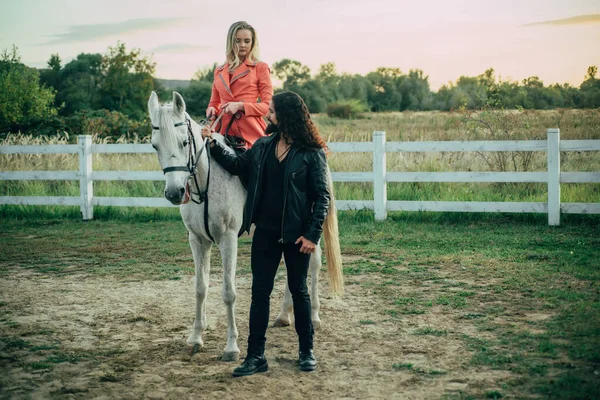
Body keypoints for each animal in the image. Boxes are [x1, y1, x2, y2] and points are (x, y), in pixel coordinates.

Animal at [148, 92, 342, 360]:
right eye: (155, 145)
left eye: (184, 143)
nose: (175, 193)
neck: (207, 181)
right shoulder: (197, 240)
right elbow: (200, 288)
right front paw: (196, 337)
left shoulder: (228, 239)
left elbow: (229, 292)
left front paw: (231, 346)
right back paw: (284, 315)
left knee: (313, 264)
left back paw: (313, 315)